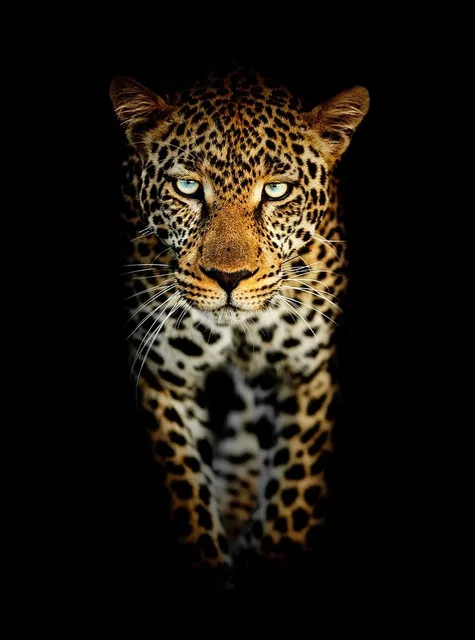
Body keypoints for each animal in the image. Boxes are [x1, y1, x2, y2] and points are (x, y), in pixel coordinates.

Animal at [109, 69, 369, 590]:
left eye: (277, 191)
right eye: (187, 186)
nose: (229, 278)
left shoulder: (304, 375)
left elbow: (292, 497)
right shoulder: (163, 378)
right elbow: (186, 494)